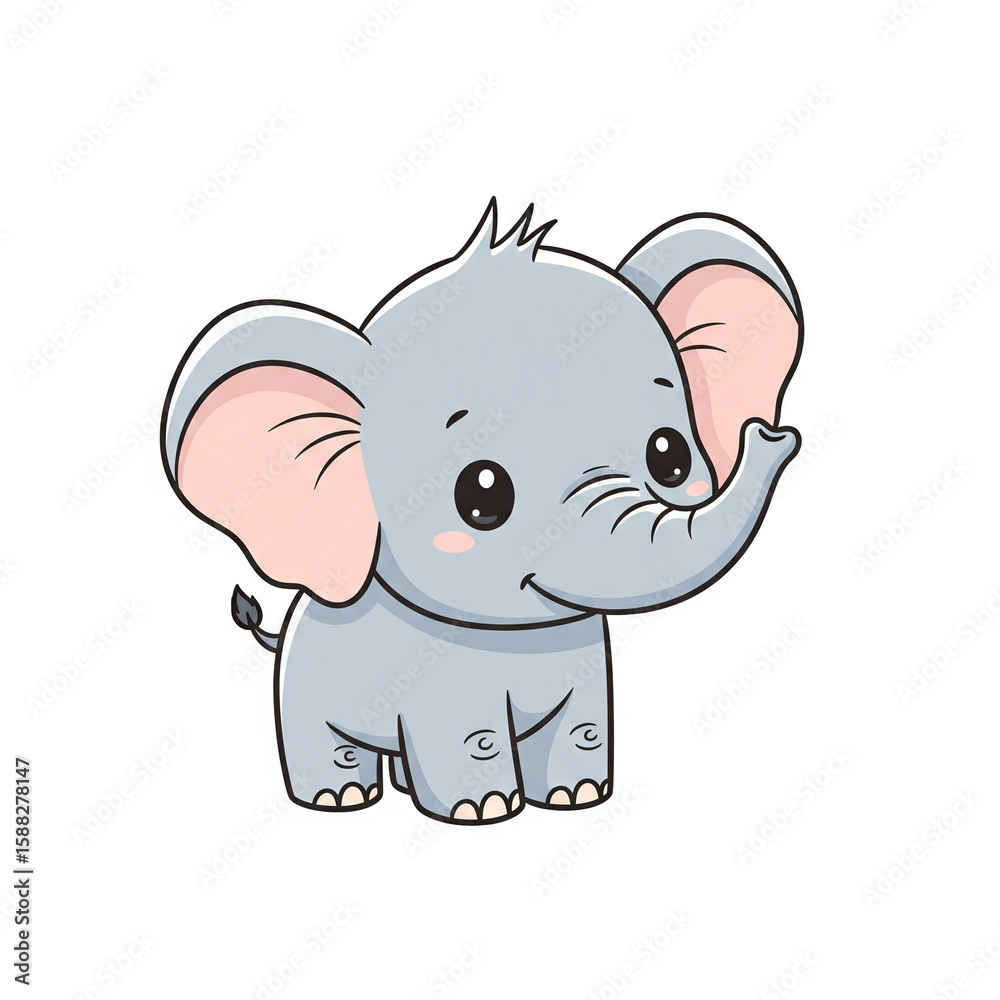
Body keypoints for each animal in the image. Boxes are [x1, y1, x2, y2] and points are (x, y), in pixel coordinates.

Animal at [161, 200, 803, 825]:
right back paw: (338, 800)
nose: (773, 435)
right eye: (482, 495)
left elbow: (585, 727)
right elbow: (471, 737)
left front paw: (578, 797)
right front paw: (484, 811)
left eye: (669, 456)